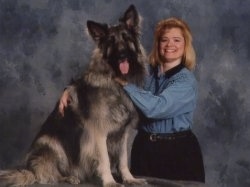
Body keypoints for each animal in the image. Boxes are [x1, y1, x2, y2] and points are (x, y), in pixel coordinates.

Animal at [0, 4, 147, 187]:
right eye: (111, 42)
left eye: (126, 38)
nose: (122, 56)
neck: (114, 82)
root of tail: (30, 169)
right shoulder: (99, 133)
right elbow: (105, 159)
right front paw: (109, 181)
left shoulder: (122, 133)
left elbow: (123, 159)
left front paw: (129, 178)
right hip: (52, 143)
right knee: (46, 175)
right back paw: (68, 177)